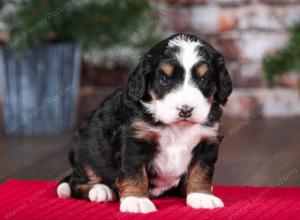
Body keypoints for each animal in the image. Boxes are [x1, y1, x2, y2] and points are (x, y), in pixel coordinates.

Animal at [57, 33, 233, 214]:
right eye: (164, 79)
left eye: (204, 80)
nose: (185, 110)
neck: (177, 128)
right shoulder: (134, 140)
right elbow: (134, 172)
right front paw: (136, 200)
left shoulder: (207, 141)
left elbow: (202, 170)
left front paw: (201, 196)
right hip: (84, 153)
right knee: (75, 183)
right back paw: (100, 190)